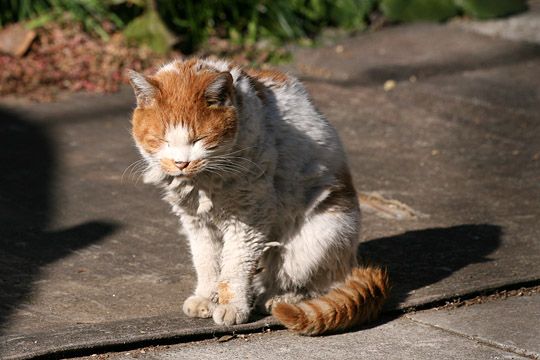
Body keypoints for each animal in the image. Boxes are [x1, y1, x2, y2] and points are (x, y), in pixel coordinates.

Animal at [127, 57, 388, 336]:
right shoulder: (197, 222)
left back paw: (278, 298)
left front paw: (232, 307)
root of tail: (352, 262)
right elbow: (206, 262)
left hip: (315, 240)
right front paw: (207, 297)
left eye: (200, 139)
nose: (181, 163)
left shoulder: (248, 219)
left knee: (318, 283)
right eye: (162, 140)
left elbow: (234, 269)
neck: (203, 181)